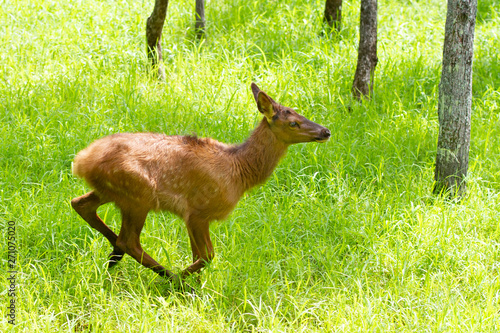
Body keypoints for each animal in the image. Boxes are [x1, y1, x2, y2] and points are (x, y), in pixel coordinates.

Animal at [70, 81, 328, 290]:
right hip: (138, 196)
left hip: (112, 192)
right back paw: (169, 278)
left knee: (80, 204)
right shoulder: (198, 211)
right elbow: (207, 256)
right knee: (129, 241)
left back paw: (114, 260)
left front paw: (195, 286)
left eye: (301, 114)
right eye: (293, 122)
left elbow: (198, 255)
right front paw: (186, 284)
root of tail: (81, 161)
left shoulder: (190, 216)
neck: (240, 172)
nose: (326, 131)